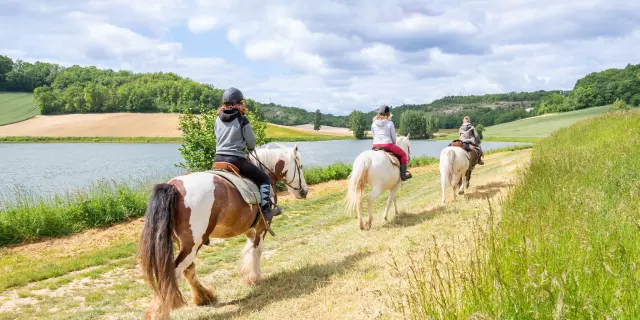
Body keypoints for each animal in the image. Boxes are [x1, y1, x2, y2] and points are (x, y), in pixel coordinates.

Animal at [139, 146, 308, 320]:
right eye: (300, 166)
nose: (304, 191)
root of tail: (174, 186)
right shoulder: (262, 225)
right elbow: (257, 250)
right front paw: (256, 278)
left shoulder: (249, 228)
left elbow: (249, 249)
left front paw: (248, 275)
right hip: (192, 245)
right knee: (173, 274)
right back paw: (159, 313)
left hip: (182, 243)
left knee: (188, 269)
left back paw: (204, 297)